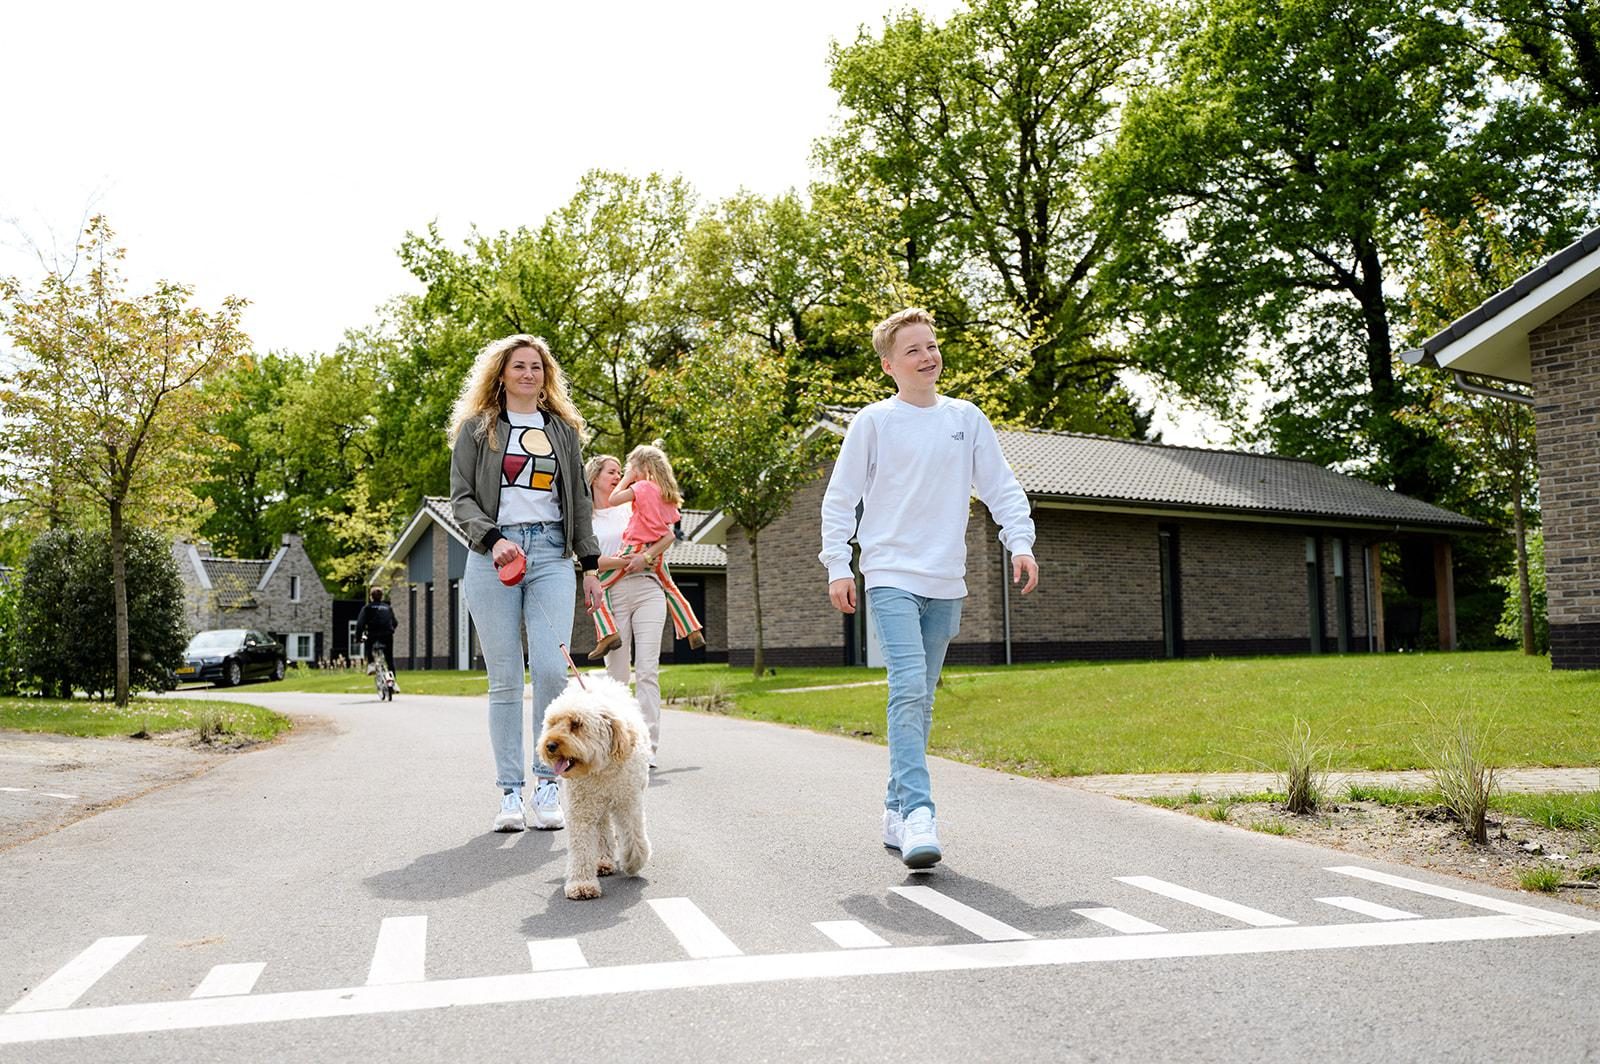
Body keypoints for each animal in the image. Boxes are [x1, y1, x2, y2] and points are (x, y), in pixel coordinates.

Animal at [537, 672, 649, 896]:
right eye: (553, 723)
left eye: (576, 724)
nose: (550, 745)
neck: (601, 769)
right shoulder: (582, 811)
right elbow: (581, 846)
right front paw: (581, 884)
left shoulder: (629, 803)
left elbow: (634, 836)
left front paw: (633, 861)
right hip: (598, 809)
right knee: (603, 831)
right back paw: (603, 861)